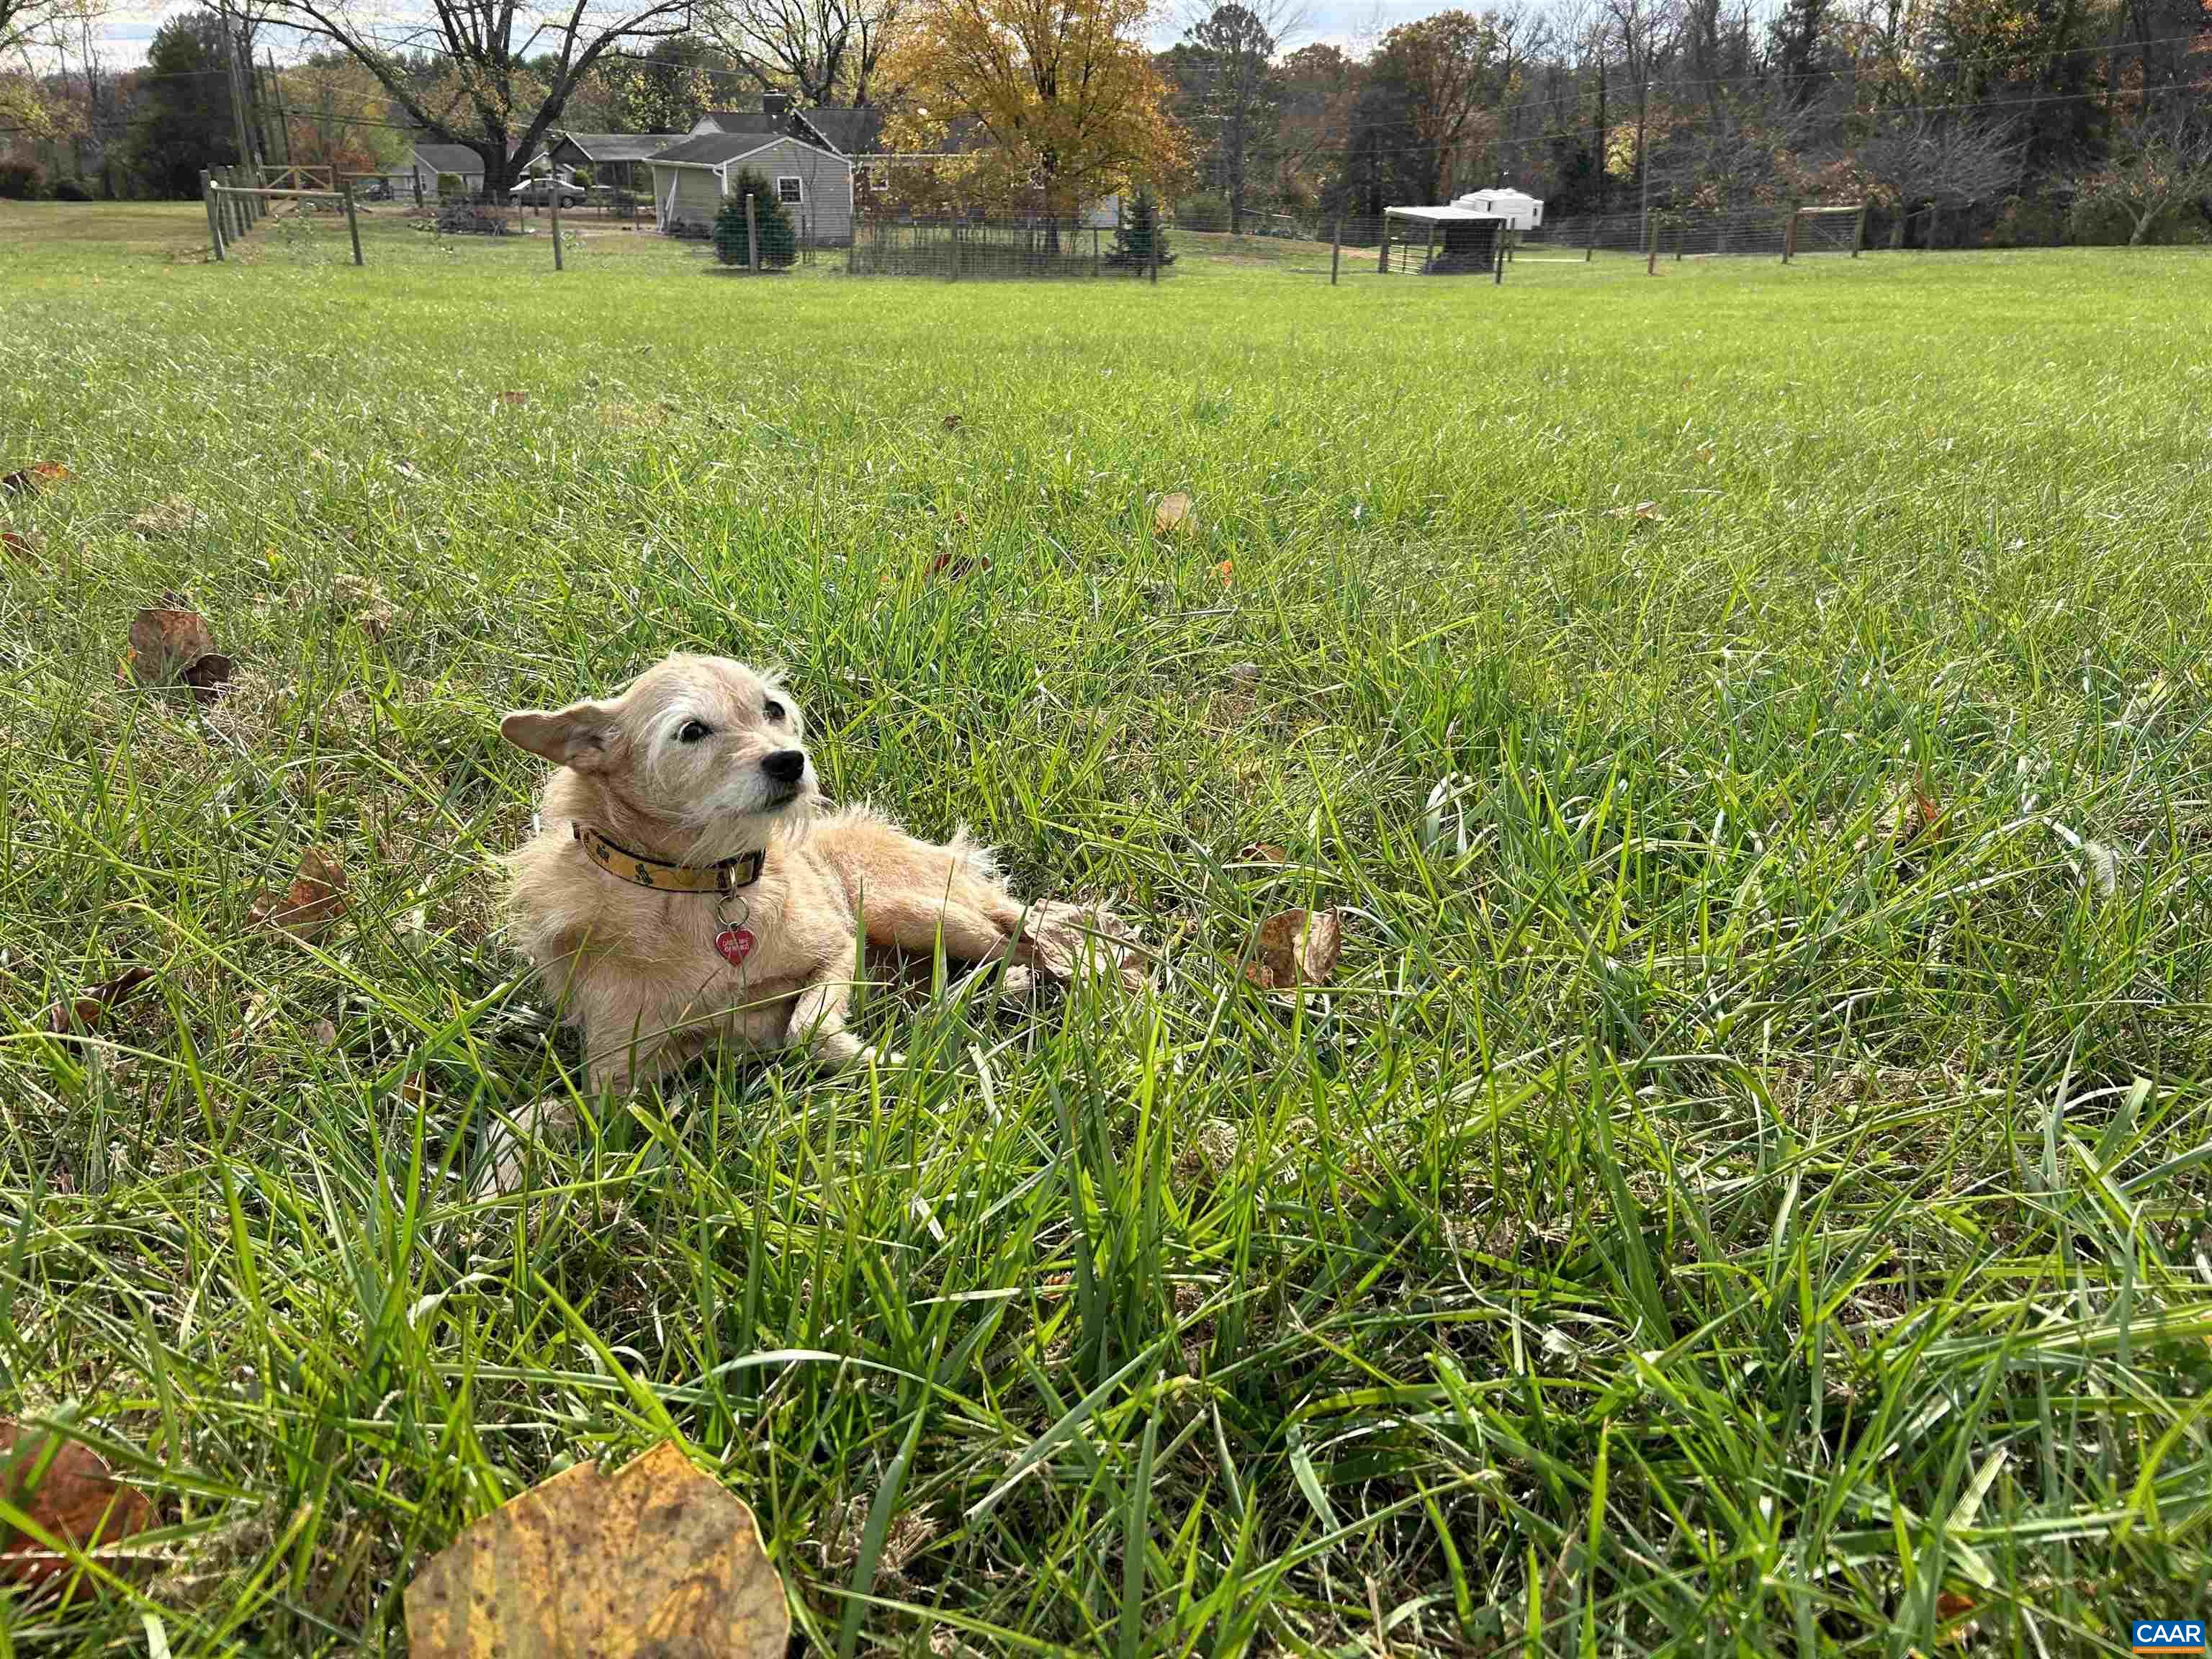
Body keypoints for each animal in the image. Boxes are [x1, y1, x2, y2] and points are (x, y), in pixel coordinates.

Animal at [486, 655, 1035, 1185]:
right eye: (691, 731)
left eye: (772, 709)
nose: (790, 761)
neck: (698, 886)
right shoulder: (618, 1078)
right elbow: (530, 1117)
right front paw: (502, 1173)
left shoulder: (837, 947)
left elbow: (808, 1031)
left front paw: (896, 1065)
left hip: (907, 910)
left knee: (1020, 937)